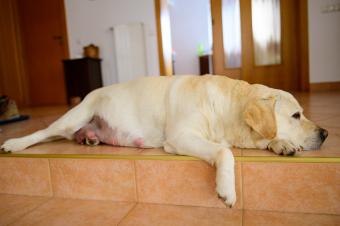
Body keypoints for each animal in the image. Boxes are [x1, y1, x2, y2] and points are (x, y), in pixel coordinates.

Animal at [1, 75, 328, 207]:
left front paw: (282, 145)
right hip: (73, 116)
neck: (226, 106)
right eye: (296, 115)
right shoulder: (180, 137)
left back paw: (90, 139)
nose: (326, 133)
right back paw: (14, 144)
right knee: (43, 133)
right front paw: (226, 189)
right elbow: (225, 152)